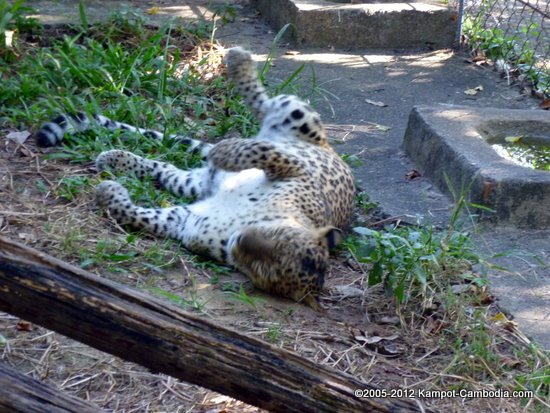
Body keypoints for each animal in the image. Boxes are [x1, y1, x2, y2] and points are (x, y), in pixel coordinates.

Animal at [34, 46, 356, 308]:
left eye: (264, 267)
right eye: (277, 238)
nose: (241, 241)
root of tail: (329, 147)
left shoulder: (185, 222)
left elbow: (138, 216)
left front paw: (108, 193)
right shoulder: (296, 171)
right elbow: (263, 152)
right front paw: (228, 150)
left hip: (193, 183)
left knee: (163, 169)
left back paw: (115, 159)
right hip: (300, 118)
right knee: (266, 105)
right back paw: (237, 63)